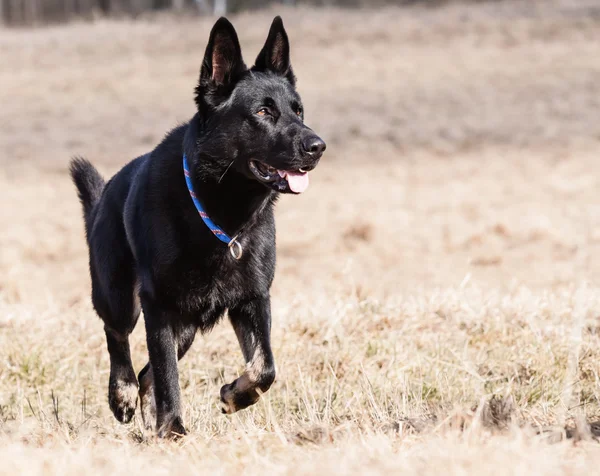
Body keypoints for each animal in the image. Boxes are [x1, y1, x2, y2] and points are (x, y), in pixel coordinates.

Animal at [69, 15, 326, 438]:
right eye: (262, 112)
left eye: (299, 111)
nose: (318, 146)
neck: (220, 215)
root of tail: (105, 193)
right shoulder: (158, 306)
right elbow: (168, 375)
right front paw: (173, 430)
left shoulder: (253, 299)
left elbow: (265, 367)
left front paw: (234, 395)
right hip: (120, 297)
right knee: (118, 339)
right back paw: (122, 396)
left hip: (185, 325)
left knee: (147, 375)